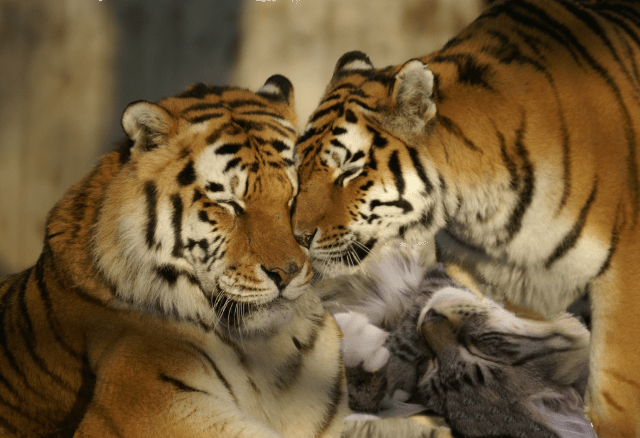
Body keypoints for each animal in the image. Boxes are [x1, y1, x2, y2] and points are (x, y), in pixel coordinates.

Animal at [291, 0, 640, 436]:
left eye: (349, 171)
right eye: (299, 168)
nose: (299, 236)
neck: (482, 211)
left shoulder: (624, 272)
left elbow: (615, 392)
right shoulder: (477, 275)